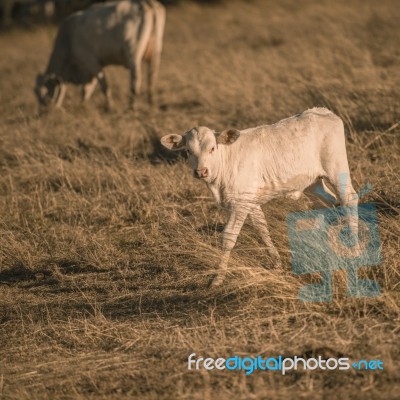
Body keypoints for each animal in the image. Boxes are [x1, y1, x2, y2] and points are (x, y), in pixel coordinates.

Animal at [34, 0, 165, 110]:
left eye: (43, 93)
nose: (42, 113)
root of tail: (145, 3)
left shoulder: (91, 63)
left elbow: (102, 86)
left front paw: (109, 106)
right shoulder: (90, 70)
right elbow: (88, 88)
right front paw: (83, 104)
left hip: (133, 55)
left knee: (135, 80)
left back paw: (131, 106)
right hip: (156, 53)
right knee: (152, 77)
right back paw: (151, 103)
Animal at [160, 108, 360, 286]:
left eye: (212, 148)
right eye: (188, 151)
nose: (201, 171)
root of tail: (324, 111)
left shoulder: (241, 202)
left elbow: (229, 236)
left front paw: (216, 279)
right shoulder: (251, 200)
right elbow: (262, 229)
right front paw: (277, 264)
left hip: (337, 168)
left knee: (349, 199)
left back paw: (354, 250)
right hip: (312, 182)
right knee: (329, 203)